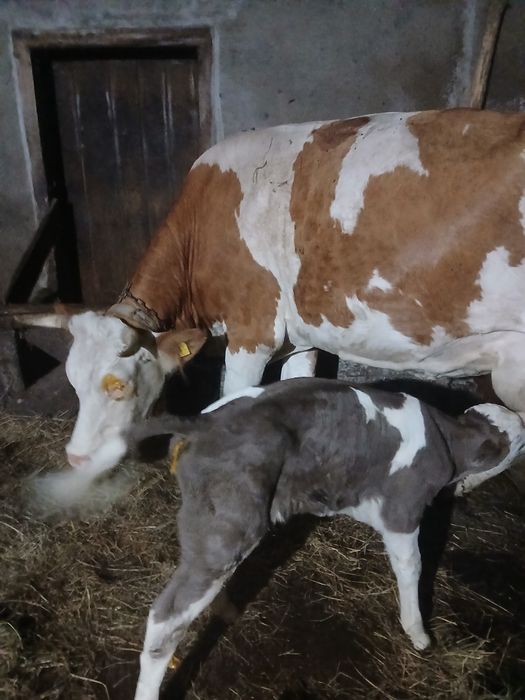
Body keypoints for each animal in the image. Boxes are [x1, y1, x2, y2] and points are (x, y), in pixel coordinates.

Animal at [124, 378, 525, 700]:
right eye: (519, 442)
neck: (447, 438)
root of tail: (203, 422)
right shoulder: (403, 510)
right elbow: (412, 567)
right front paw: (419, 634)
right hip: (232, 524)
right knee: (165, 619)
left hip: (212, 528)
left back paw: (225, 606)